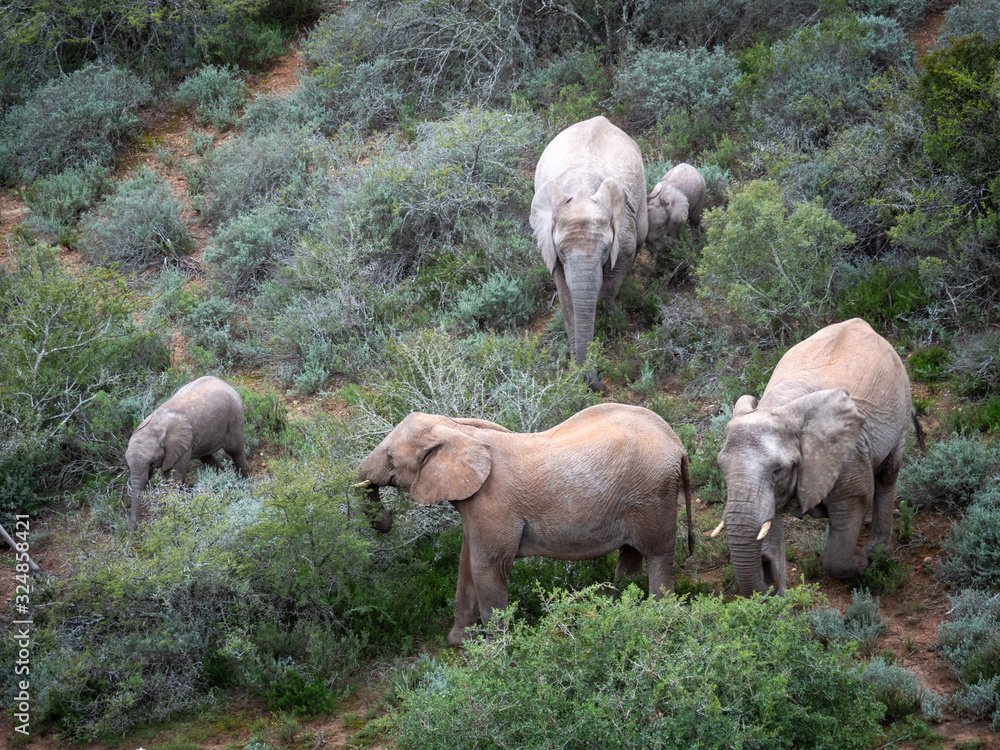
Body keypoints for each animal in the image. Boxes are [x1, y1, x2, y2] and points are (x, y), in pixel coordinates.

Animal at [125, 378, 252, 532]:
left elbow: (173, 477)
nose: (132, 533)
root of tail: (224, 382)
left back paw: (244, 481)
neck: (153, 427)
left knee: (235, 450)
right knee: (206, 456)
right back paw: (223, 477)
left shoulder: (180, 446)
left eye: (152, 463)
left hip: (234, 414)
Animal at [356, 406, 692, 648]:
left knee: (658, 554)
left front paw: (492, 654)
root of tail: (678, 444)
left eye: (390, 457)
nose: (386, 520)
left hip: (653, 493)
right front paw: (459, 643)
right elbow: (467, 563)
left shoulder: (492, 504)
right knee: (632, 552)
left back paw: (657, 618)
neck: (459, 432)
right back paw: (620, 602)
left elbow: (487, 567)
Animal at [532, 116, 648, 394]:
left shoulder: (623, 229)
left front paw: (608, 320)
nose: (601, 384)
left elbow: (619, 267)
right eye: (562, 253)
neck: (582, 191)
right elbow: (566, 295)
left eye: (605, 251)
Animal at [712, 320, 920, 596]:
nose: (767, 572)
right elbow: (769, 524)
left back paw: (878, 552)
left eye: (777, 471)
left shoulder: (848, 452)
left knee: (887, 475)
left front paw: (862, 561)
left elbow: (854, 501)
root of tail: (862, 323)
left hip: (901, 403)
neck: (778, 407)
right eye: (721, 468)